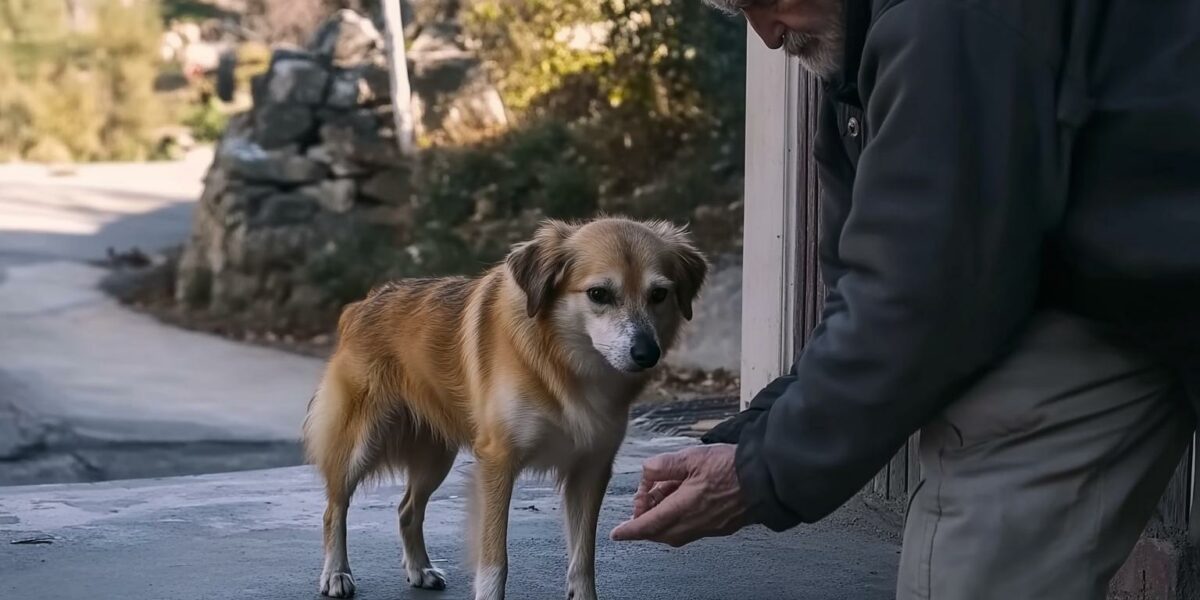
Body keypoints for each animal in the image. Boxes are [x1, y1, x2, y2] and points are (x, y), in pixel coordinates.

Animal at [302, 217, 700, 600]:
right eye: (599, 294)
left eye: (658, 294)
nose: (647, 354)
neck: (563, 363)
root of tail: (361, 305)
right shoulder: (497, 463)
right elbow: (495, 559)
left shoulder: (590, 469)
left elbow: (583, 559)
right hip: (359, 445)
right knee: (334, 511)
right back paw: (336, 574)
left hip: (436, 459)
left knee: (406, 510)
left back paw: (419, 568)